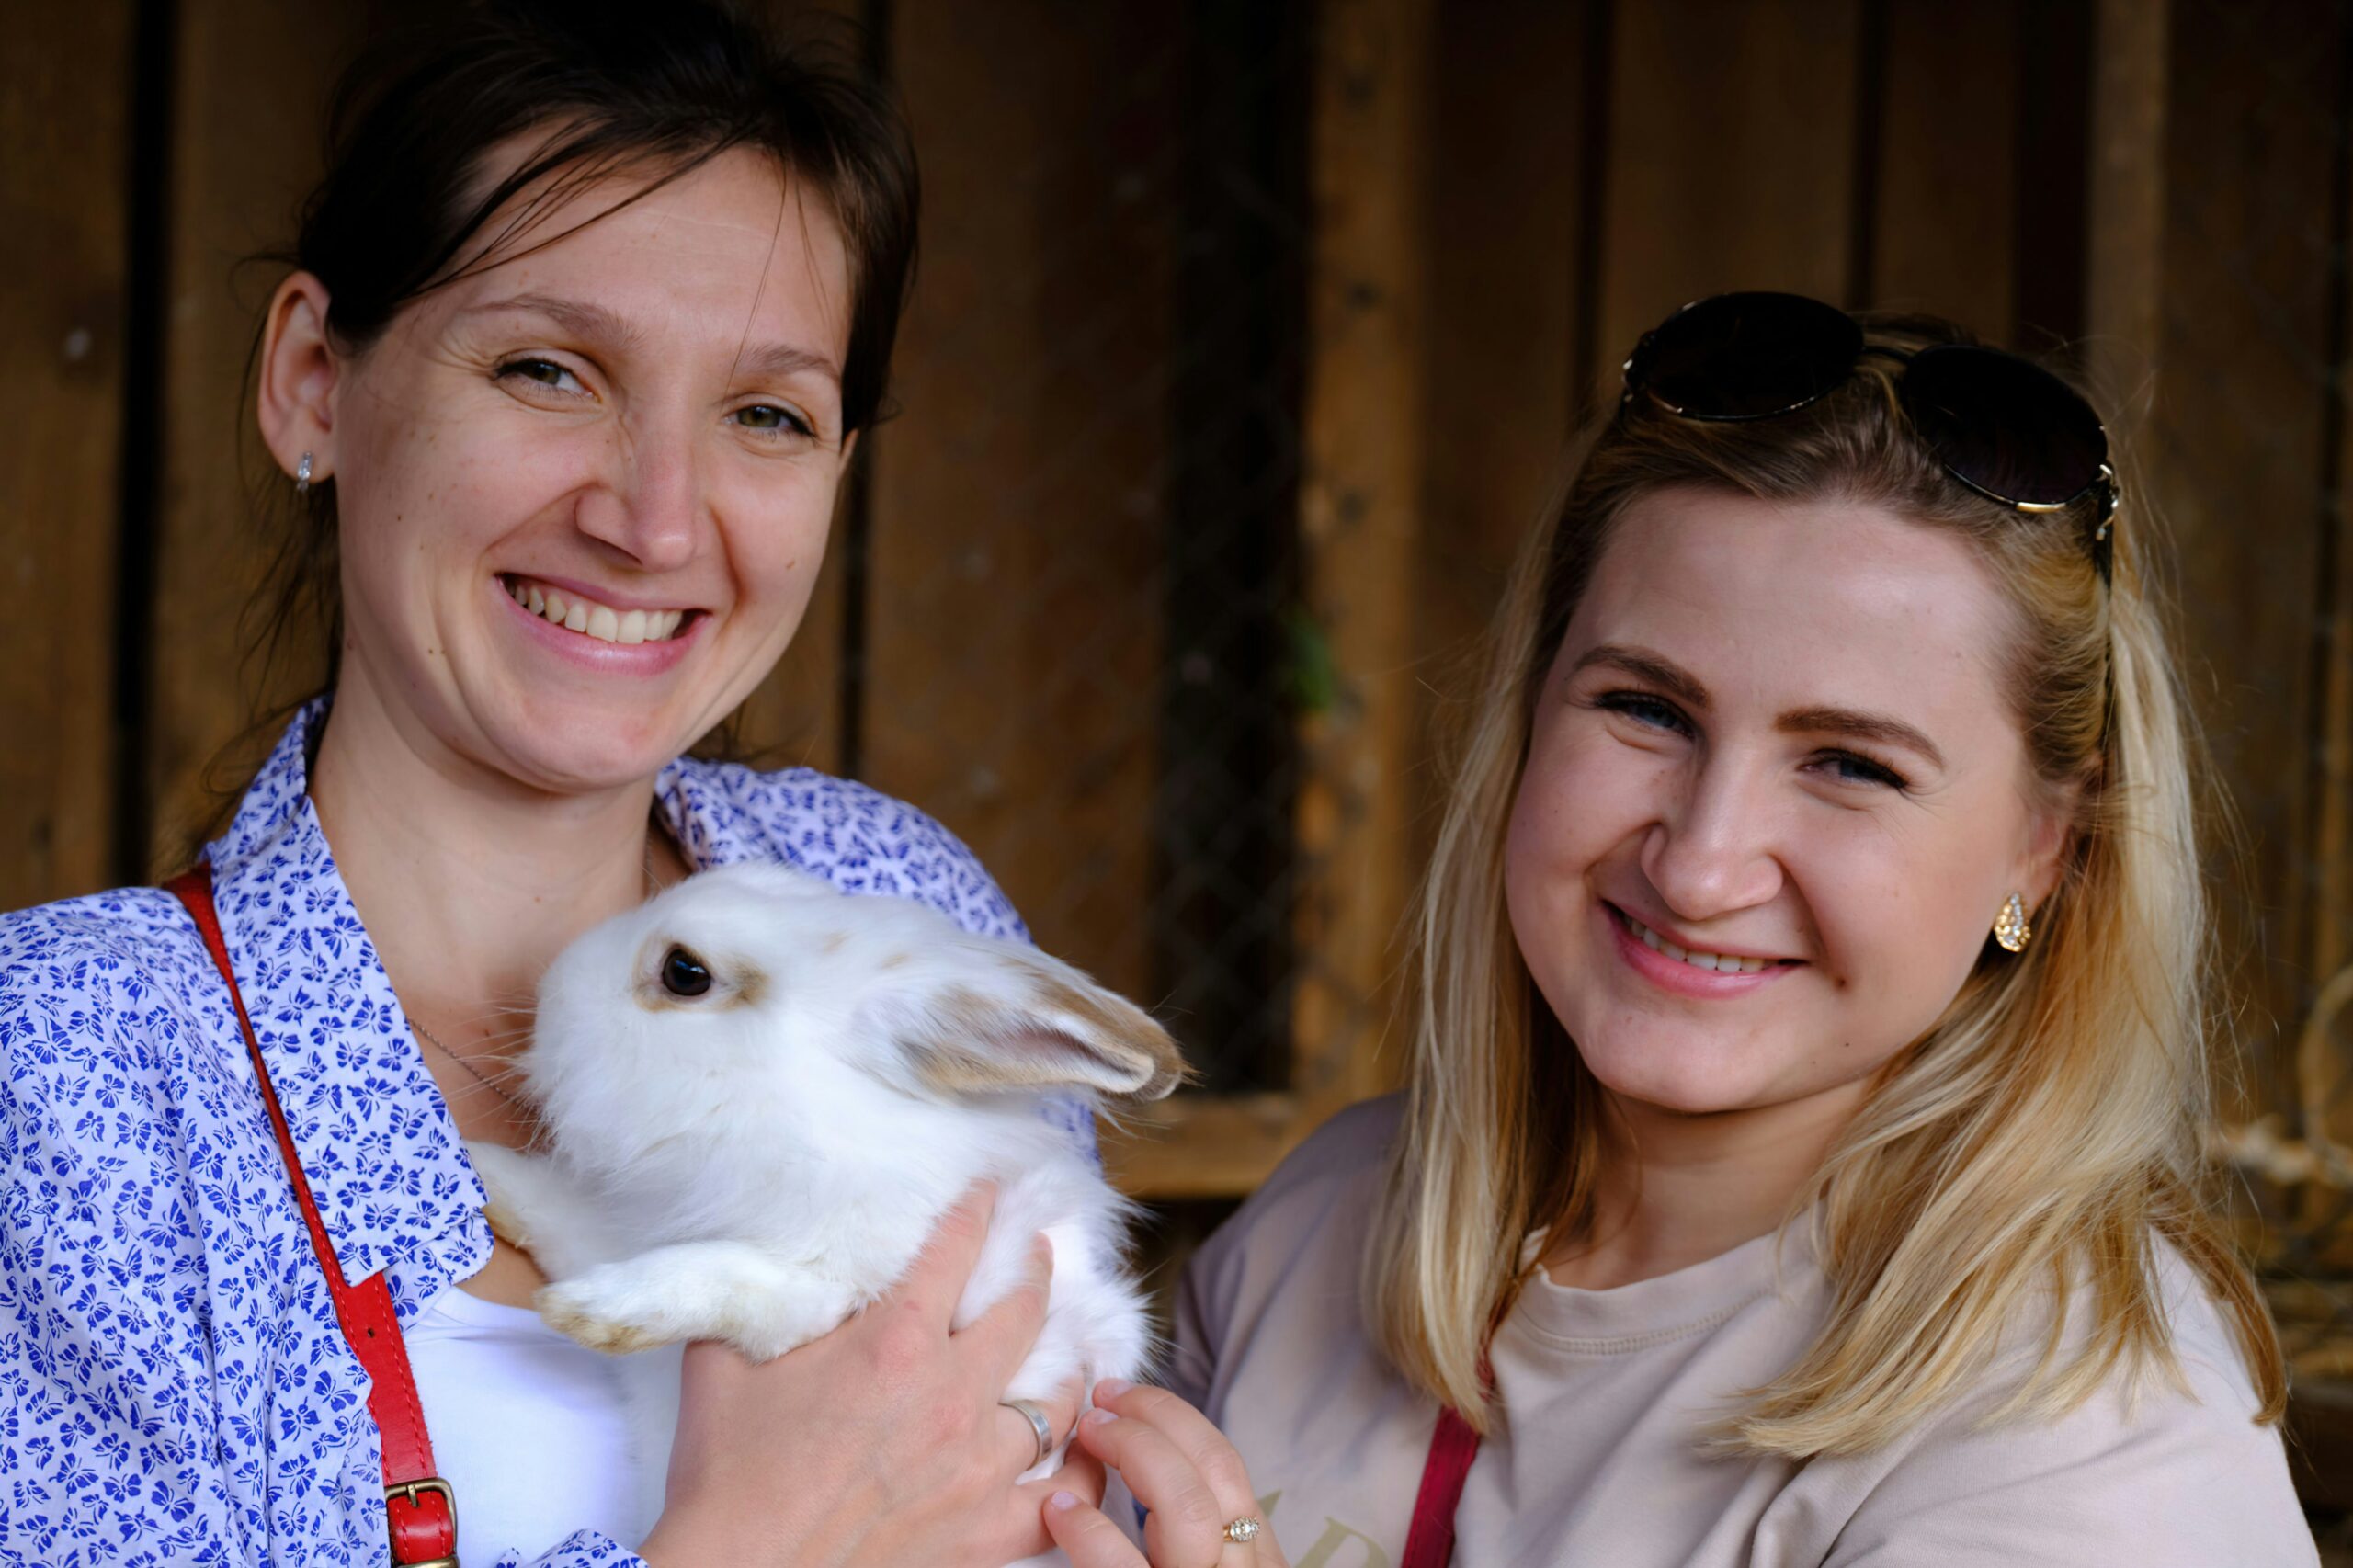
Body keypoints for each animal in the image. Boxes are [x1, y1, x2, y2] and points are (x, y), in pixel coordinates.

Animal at [465, 857, 1186, 1506]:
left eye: (684, 972)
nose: (550, 989)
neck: (787, 1105)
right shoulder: (609, 1231)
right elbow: (560, 1213)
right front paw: (479, 1170)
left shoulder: (836, 1285)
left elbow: (727, 1278)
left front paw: (594, 1309)